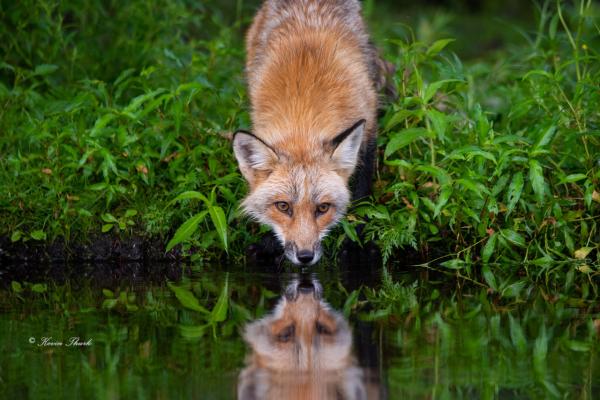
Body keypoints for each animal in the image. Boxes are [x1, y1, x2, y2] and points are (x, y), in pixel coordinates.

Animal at [232, 0, 392, 266]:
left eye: (323, 208)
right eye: (283, 206)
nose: (305, 257)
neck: (303, 112)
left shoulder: (368, 128)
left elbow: (362, 196)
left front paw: (356, 244)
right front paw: (269, 245)